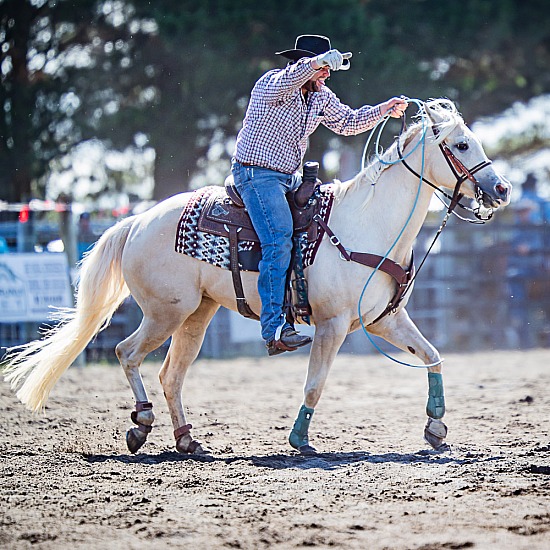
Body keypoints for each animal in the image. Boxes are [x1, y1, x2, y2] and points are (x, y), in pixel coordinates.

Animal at [3, 99, 512, 458]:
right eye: (461, 145)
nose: (502, 189)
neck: (366, 223)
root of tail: (138, 221)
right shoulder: (331, 324)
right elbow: (315, 383)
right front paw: (300, 439)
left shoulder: (384, 319)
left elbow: (432, 356)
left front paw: (436, 425)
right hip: (166, 312)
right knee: (127, 353)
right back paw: (141, 423)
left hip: (198, 315)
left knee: (171, 374)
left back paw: (187, 440)